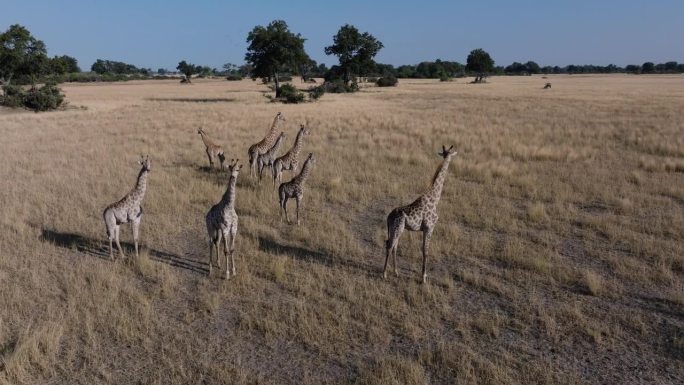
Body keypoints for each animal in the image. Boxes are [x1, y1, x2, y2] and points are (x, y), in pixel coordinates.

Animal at [382, 146, 456, 284]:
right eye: (448, 154)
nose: (448, 158)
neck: (434, 199)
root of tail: (389, 217)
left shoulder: (425, 229)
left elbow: (423, 250)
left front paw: (423, 276)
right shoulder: (429, 228)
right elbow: (425, 251)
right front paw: (424, 278)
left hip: (396, 229)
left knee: (394, 246)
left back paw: (396, 272)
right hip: (398, 228)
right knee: (390, 246)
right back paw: (384, 274)